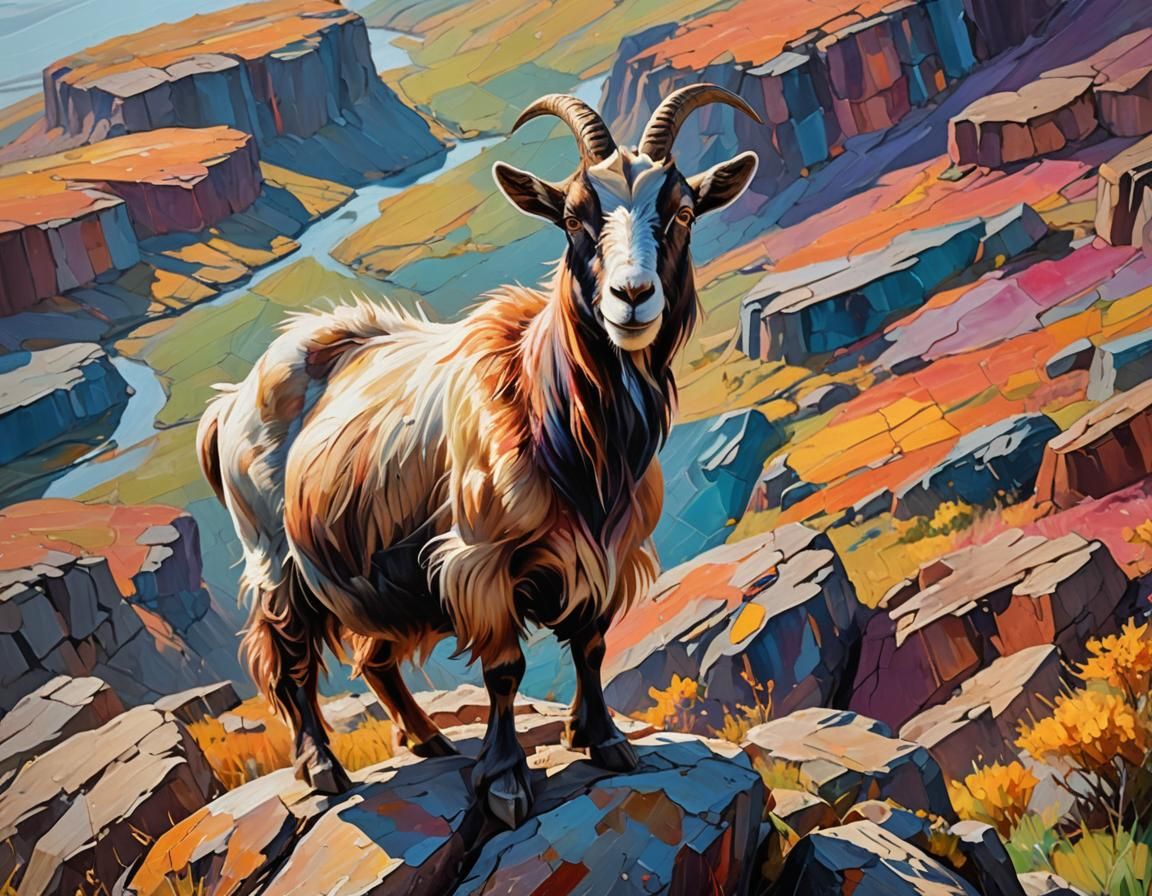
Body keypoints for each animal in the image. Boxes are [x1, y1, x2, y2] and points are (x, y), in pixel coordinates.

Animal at [196, 84, 760, 827]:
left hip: (377, 572)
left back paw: (427, 738)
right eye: (574, 218)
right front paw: (506, 781)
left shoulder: (606, 553)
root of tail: (228, 401)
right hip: (275, 553)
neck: (555, 416)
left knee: (374, 655)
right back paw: (321, 767)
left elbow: (591, 645)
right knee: (286, 655)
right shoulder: (479, 559)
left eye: (684, 213)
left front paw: (603, 740)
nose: (632, 298)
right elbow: (504, 669)